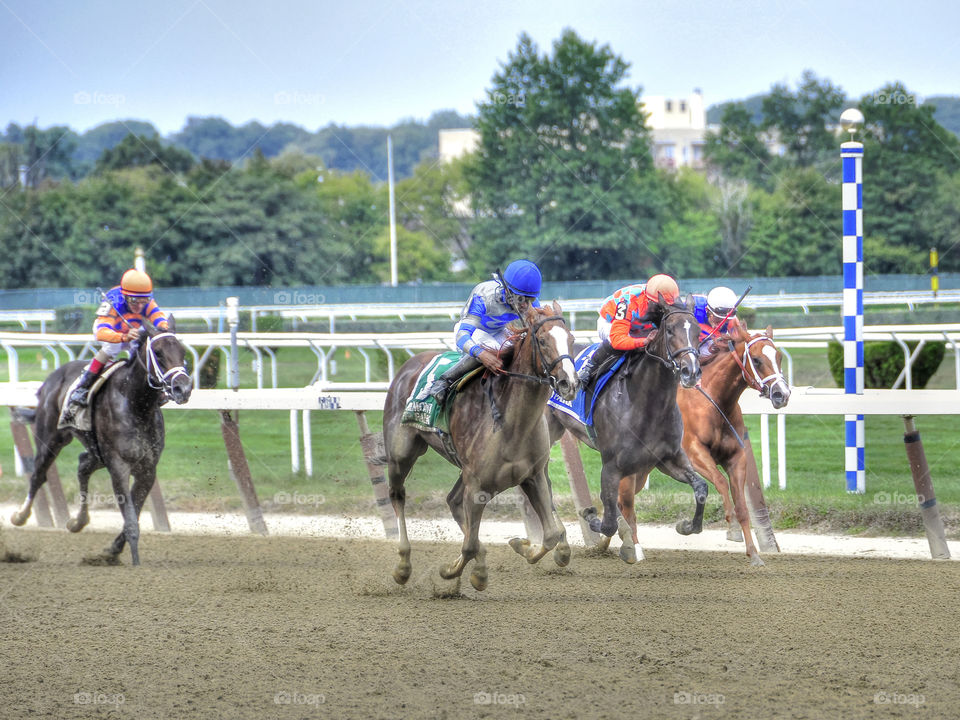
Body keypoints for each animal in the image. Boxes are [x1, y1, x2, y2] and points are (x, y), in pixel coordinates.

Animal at [9, 318, 192, 564]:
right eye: (158, 352)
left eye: (182, 351)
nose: (183, 388)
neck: (136, 405)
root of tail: (51, 378)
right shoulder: (119, 466)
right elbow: (131, 519)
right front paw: (135, 562)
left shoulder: (147, 468)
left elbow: (134, 510)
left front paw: (113, 550)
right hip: (51, 439)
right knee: (39, 474)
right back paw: (21, 515)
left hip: (96, 451)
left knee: (83, 464)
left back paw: (78, 521)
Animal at [382, 304, 576, 592]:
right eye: (542, 340)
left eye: (571, 339)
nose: (569, 383)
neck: (512, 423)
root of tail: (408, 365)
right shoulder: (477, 486)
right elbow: (470, 545)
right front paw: (454, 571)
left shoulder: (533, 475)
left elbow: (551, 535)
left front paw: (522, 546)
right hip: (401, 455)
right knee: (398, 495)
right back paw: (403, 566)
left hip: (465, 472)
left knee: (452, 501)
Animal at [620, 324, 792, 564]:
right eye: (757, 360)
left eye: (778, 356)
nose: (782, 394)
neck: (714, 402)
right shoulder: (694, 453)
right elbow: (720, 481)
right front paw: (731, 528)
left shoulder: (736, 458)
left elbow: (742, 505)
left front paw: (754, 553)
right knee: (625, 503)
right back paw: (633, 549)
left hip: (644, 468)